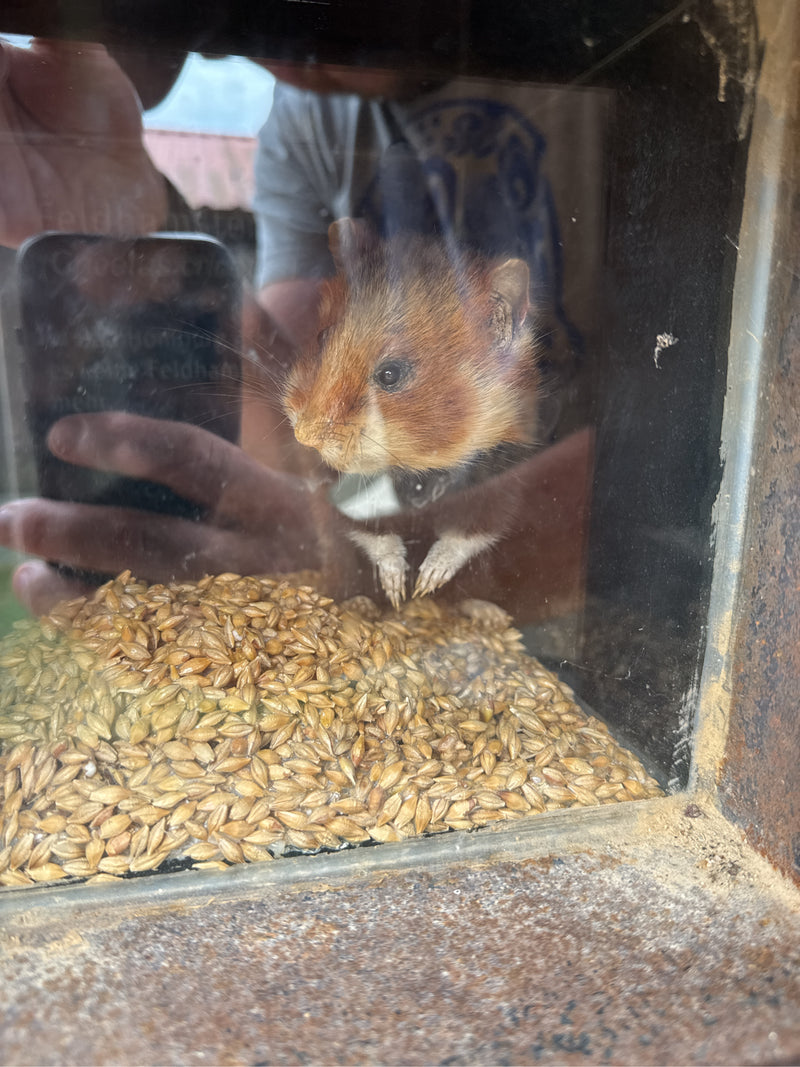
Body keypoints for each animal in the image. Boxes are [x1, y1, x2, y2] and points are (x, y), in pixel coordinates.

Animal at [283, 218, 541, 607]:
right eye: (323, 338)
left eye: (390, 374)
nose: (304, 438)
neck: (416, 470)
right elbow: (375, 535)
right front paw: (397, 591)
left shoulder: (503, 483)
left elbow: (465, 536)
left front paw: (423, 585)